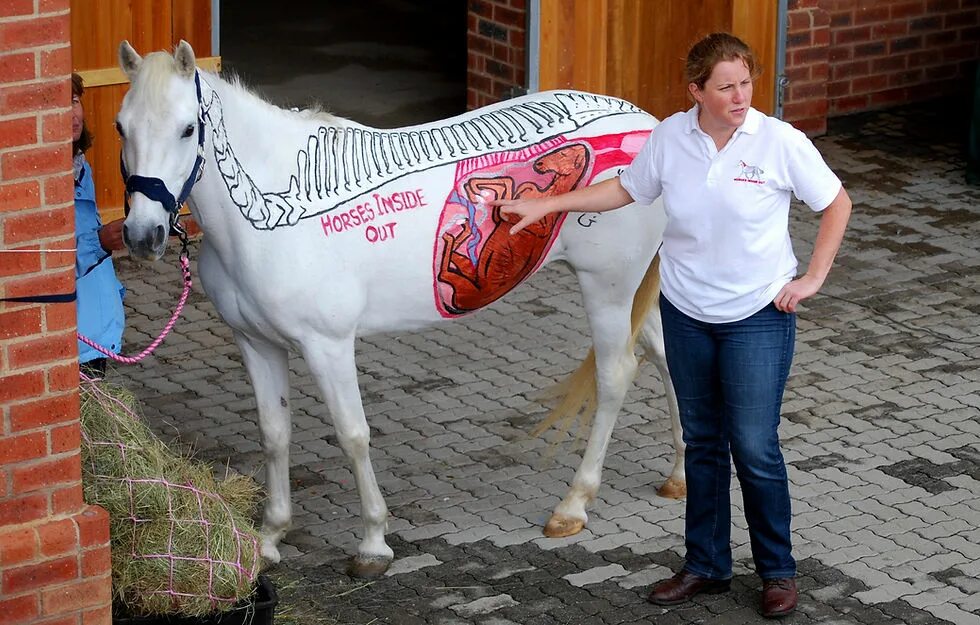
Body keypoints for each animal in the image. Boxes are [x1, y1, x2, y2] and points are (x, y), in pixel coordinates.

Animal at [115, 39, 680, 576]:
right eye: (121, 127)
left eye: (188, 129)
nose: (143, 236)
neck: (273, 219)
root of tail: (650, 129)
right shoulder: (255, 342)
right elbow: (274, 435)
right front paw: (270, 538)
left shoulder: (327, 346)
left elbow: (353, 435)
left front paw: (372, 543)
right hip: (633, 291)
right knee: (667, 359)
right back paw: (677, 478)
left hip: (607, 289)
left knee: (615, 376)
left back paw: (573, 505)